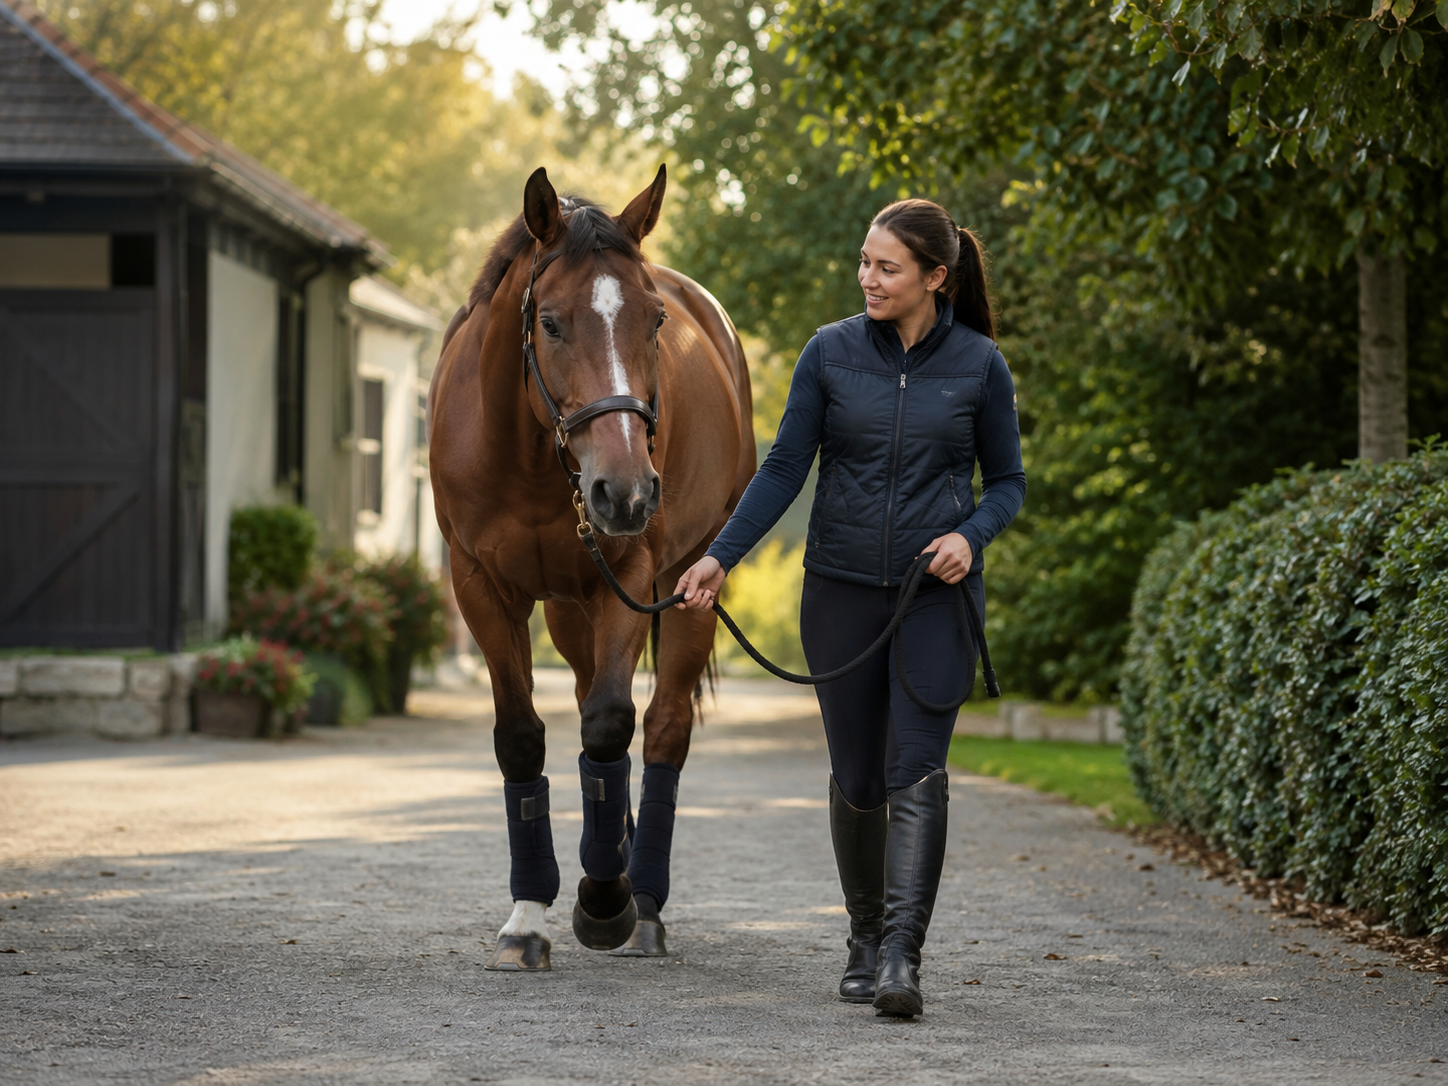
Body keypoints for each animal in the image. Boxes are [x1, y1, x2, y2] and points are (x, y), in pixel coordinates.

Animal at [428, 165, 755, 970]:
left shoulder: (633, 577)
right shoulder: (481, 587)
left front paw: (604, 901)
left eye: (655, 321)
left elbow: (610, 725)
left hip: (688, 585)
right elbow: (522, 736)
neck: (529, 455)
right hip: (571, 607)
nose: (627, 491)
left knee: (662, 727)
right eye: (549, 322)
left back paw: (645, 900)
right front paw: (527, 918)